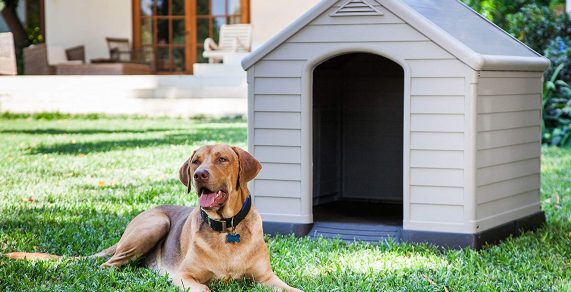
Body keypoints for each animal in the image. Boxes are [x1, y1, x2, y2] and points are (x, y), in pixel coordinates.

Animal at [6, 145, 302, 290]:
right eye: (196, 161)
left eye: (222, 159)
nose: (199, 175)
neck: (226, 228)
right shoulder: (186, 276)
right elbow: (205, 288)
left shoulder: (267, 278)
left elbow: (293, 289)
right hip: (154, 224)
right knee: (107, 265)